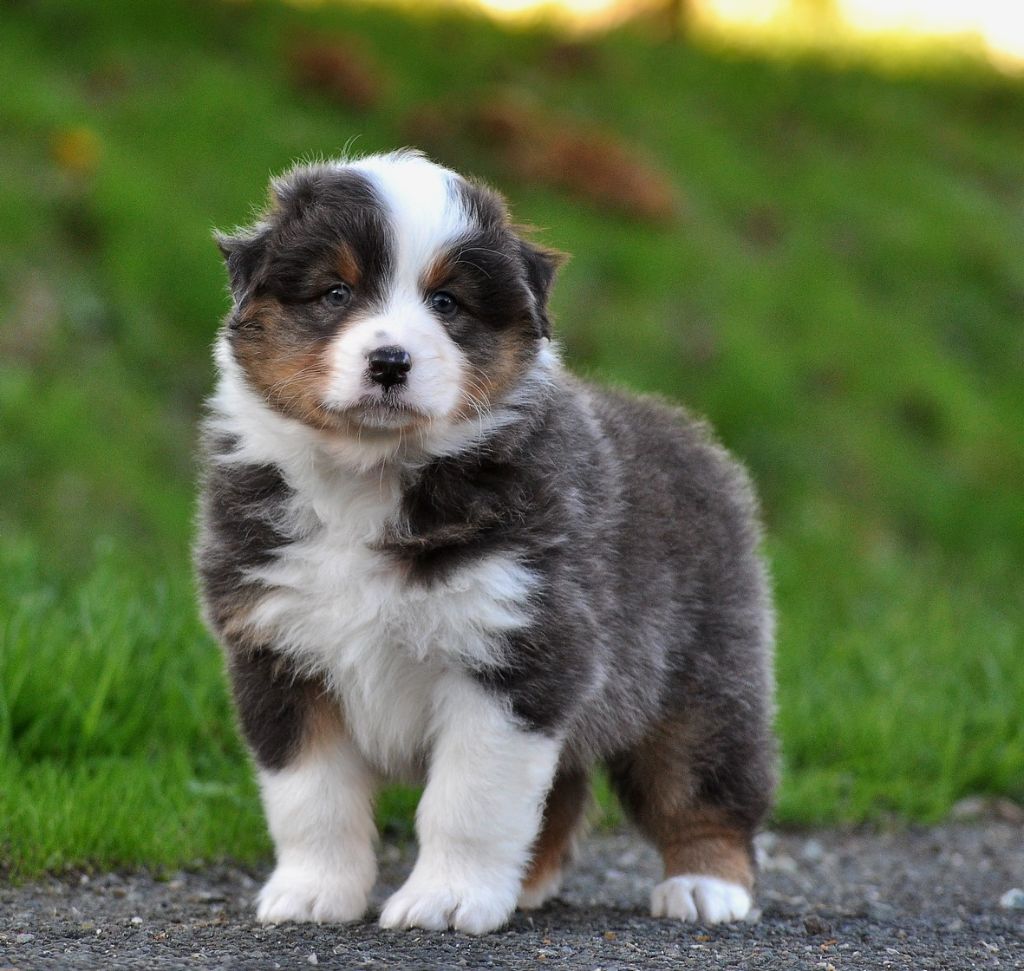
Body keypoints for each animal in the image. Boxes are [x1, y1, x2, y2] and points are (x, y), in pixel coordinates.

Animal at [193, 149, 774, 934]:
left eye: (447, 303)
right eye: (335, 292)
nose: (390, 362)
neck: (370, 478)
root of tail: (691, 433)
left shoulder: (513, 654)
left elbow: (467, 801)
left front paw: (446, 898)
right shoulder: (278, 652)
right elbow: (312, 798)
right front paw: (314, 892)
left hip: (701, 673)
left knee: (704, 784)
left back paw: (706, 885)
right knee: (563, 792)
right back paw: (528, 883)